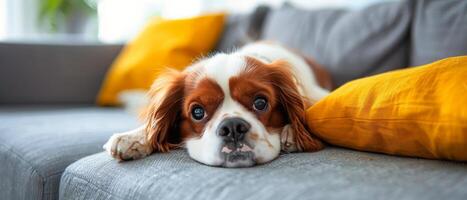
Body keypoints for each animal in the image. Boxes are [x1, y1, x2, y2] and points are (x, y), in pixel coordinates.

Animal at [102, 42, 332, 167]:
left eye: (260, 102)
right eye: (197, 112)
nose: (232, 127)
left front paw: (292, 132)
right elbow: (155, 126)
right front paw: (134, 137)